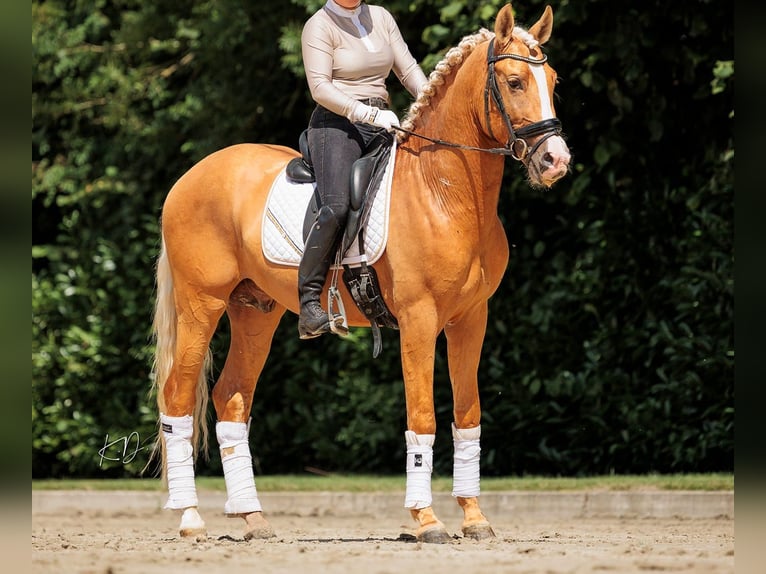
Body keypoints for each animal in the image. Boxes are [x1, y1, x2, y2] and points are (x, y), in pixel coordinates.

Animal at [151, 3, 570, 543]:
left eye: (553, 81)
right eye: (515, 82)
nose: (555, 160)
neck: (444, 192)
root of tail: (190, 176)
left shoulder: (470, 319)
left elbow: (467, 415)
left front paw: (475, 519)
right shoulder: (418, 320)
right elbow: (423, 418)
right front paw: (426, 521)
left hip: (255, 311)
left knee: (231, 400)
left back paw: (253, 518)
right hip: (201, 304)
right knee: (178, 398)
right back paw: (190, 518)